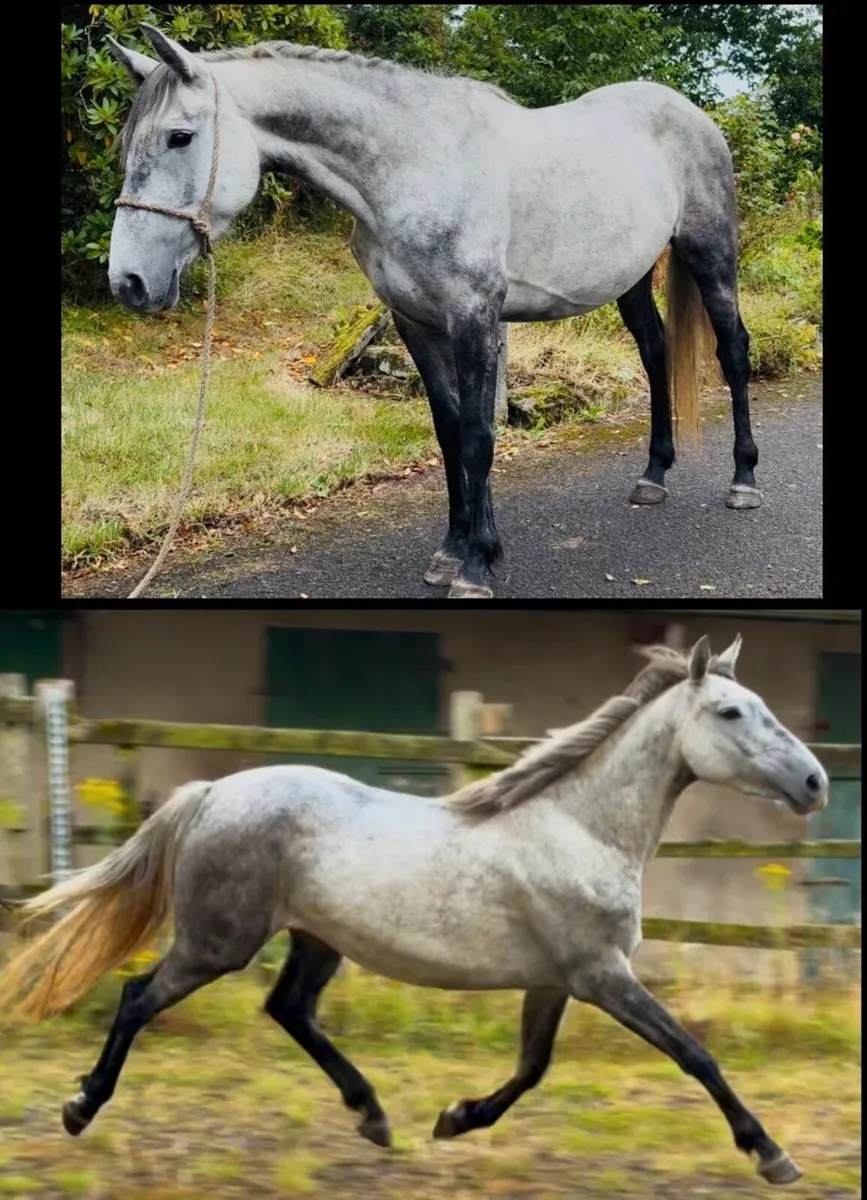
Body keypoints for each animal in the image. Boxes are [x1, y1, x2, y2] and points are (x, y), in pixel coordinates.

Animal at [0, 634, 827, 1185]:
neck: (579, 827)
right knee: (140, 997)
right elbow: (694, 1054)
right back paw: (80, 1107)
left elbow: (531, 1069)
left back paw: (373, 1116)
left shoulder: (557, 980)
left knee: (287, 1009)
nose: (815, 782)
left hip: (315, 939)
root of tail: (209, 794)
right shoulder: (601, 974)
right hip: (218, 942)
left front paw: (453, 1119)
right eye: (731, 712)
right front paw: (771, 1154)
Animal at [104, 24, 761, 599]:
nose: (128, 282)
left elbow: (478, 436)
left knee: (733, 351)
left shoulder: (473, 319)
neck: (413, 168)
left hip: (710, 256)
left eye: (180, 137)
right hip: (632, 278)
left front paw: (474, 568)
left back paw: (744, 481)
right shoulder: (416, 324)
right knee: (655, 352)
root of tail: (689, 112)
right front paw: (454, 550)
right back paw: (653, 476)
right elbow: (448, 432)